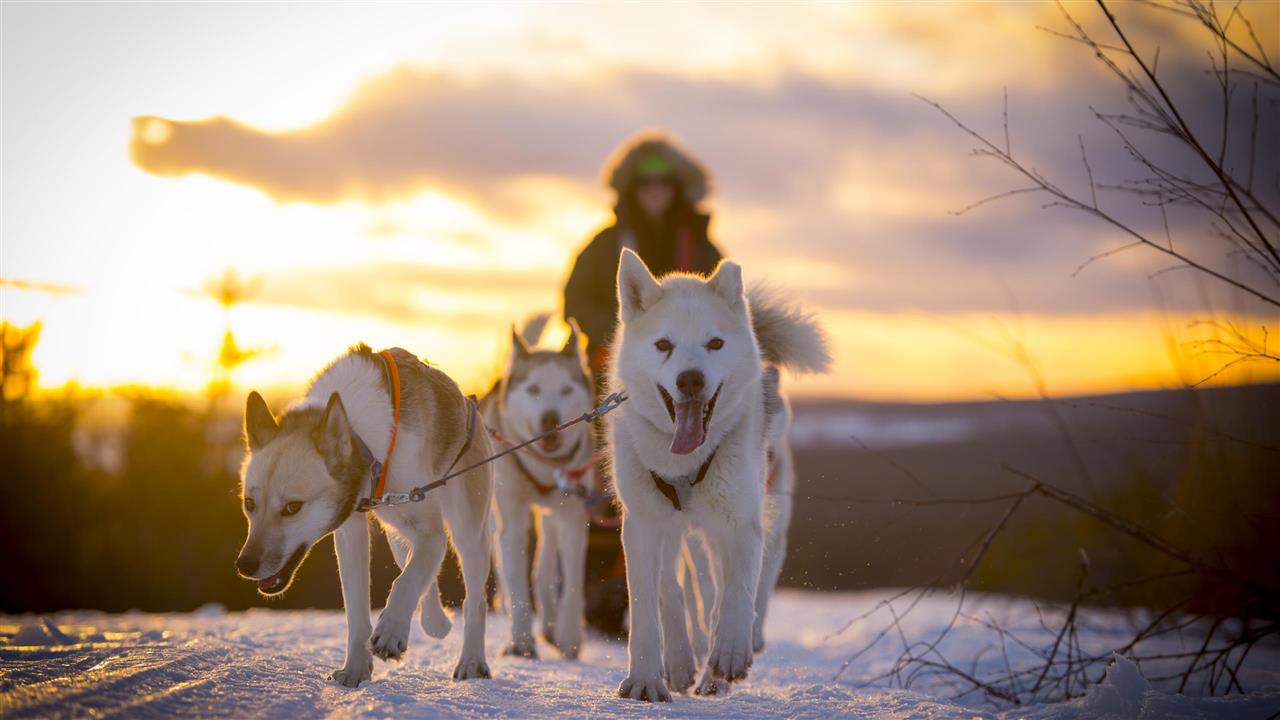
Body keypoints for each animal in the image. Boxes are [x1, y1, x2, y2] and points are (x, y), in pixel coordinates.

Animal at [235, 345, 494, 686]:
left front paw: (391, 631)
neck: (361, 437)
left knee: (474, 598)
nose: (245, 565)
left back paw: (472, 661)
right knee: (417, 568)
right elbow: (358, 609)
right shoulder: (351, 532)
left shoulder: (429, 530)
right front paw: (355, 670)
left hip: (467, 531)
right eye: (250, 503)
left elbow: (406, 581)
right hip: (397, 529)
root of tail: (468, 403)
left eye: (292, 507)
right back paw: (435, 621)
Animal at [483, 316, 599, 661]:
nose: (550, 420)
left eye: (566, 389)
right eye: (533, 389)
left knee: (545, 566)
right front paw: (521, 641)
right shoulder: (512, 518)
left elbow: (572, 582)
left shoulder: (573, 516)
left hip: (552, 515)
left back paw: (549, 624)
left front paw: (571, 638)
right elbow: (516, 579)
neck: (545, 469)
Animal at [609, 249, 829, 696]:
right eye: (663, 345)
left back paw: (724, 662)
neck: (684, 465)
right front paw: (646, 680)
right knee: (683, 591)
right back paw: (682, 662)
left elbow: (737, 592)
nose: (691, 380)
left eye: (715, 344)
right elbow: (651, 603)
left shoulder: (740, 523)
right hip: (684, 535)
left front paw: (727, 653)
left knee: (740, 590)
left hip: (759, 518)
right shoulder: (644, 523)